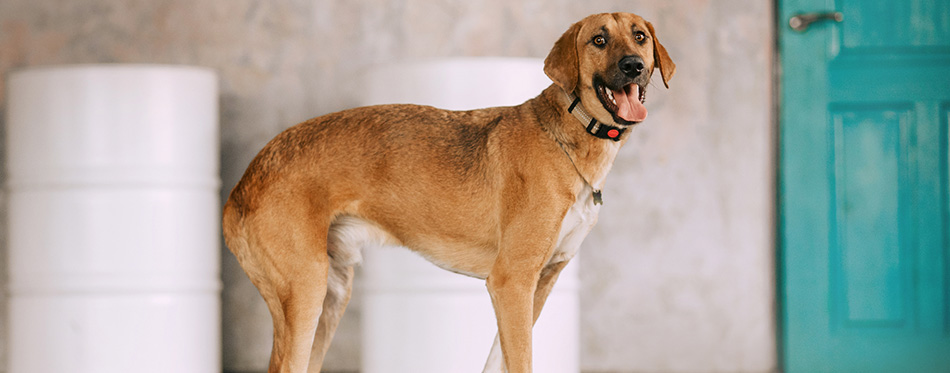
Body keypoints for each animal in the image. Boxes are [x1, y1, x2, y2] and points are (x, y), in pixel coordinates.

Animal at [225, 12, 676, 372]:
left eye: (640, 36)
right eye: (598, 40)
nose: (634, 66)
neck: (569, 133)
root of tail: (243, 183)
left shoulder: (538, 286)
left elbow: (498, 361)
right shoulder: (511, 282)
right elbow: (521, 360)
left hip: (331, 296)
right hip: (305, 292)